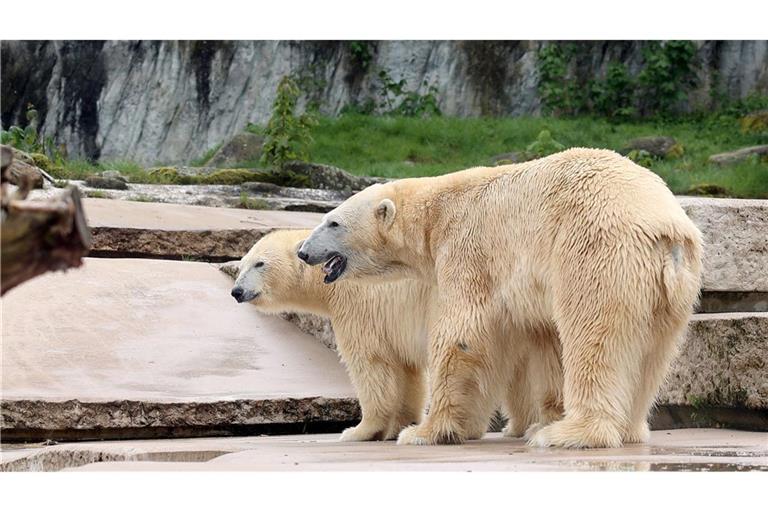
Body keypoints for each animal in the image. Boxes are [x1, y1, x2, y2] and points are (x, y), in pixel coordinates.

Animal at [231, 228, 560, 440]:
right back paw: (514, 426)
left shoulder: (359, 304)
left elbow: (372, 364)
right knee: (518, 371)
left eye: (260, 263)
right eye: (242, 264)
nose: (236, 291)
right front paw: (398, 425)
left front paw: (359, 430)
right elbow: (408, 372)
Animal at [298, 148, 704, 448]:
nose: (303, 251)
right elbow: (542, 340)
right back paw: (628, 429)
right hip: (673, 291)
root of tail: (665, 230)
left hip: (596, 250)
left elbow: (462, 334)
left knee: (594, 337)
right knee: (653, 354)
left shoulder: (466, 248)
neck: (435, 211)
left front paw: (423, 431)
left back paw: (568, 434)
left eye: (333, 222)